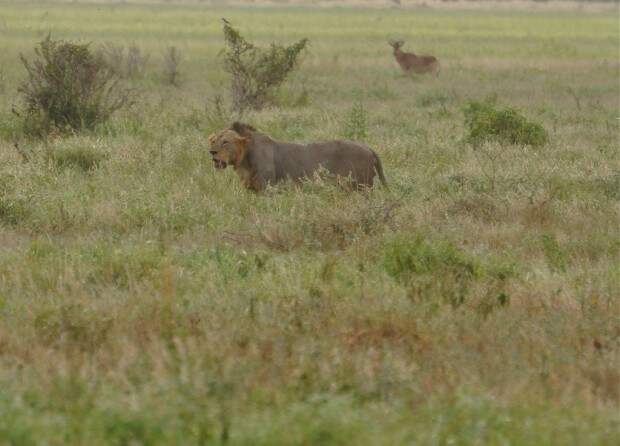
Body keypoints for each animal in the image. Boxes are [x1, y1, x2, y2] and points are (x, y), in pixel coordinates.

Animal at [206, 122, 388, 192]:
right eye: (214, 141)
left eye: (225, 142)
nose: (212, 152)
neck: (244, 161)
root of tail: (369, 148)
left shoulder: (268, 188)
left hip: (362, 188)